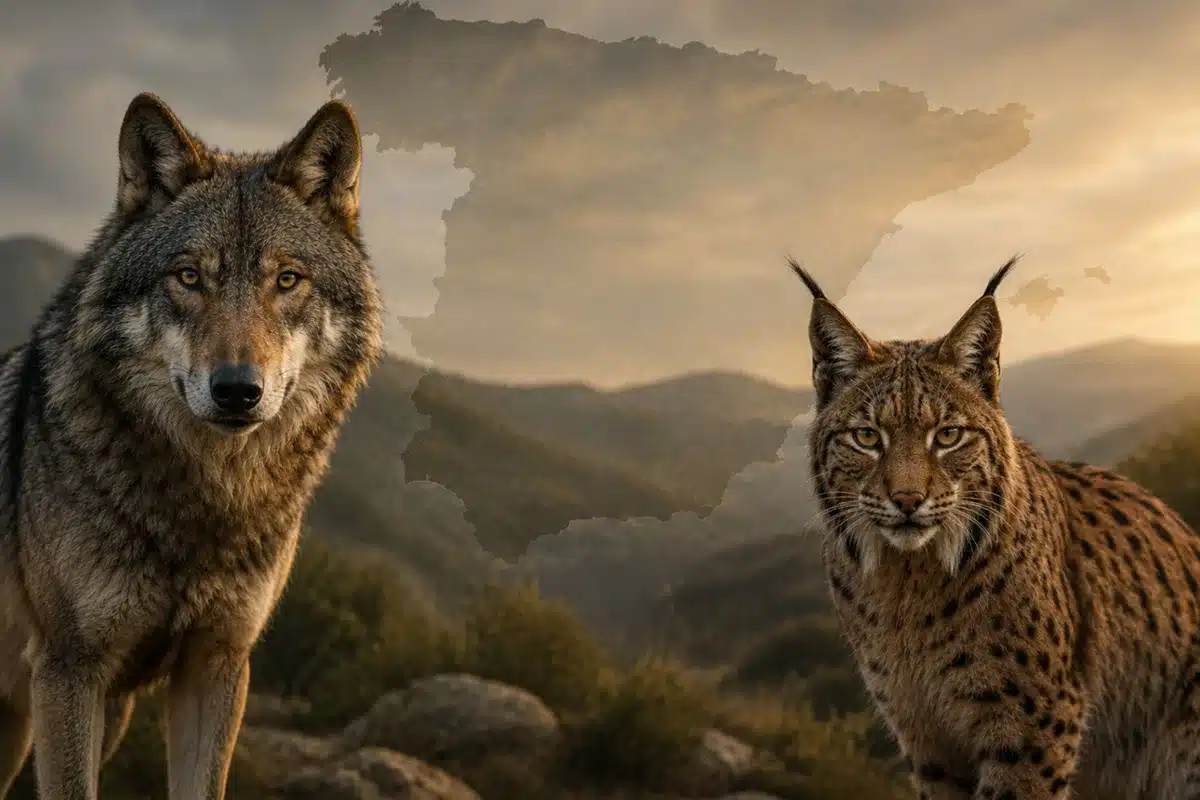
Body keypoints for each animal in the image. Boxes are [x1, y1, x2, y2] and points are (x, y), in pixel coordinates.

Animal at [0, 92, 382, 799]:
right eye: (188, 277)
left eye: (287, 280)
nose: (237, 390)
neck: (207, 500)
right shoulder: (68, 669)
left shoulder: (217, 664)